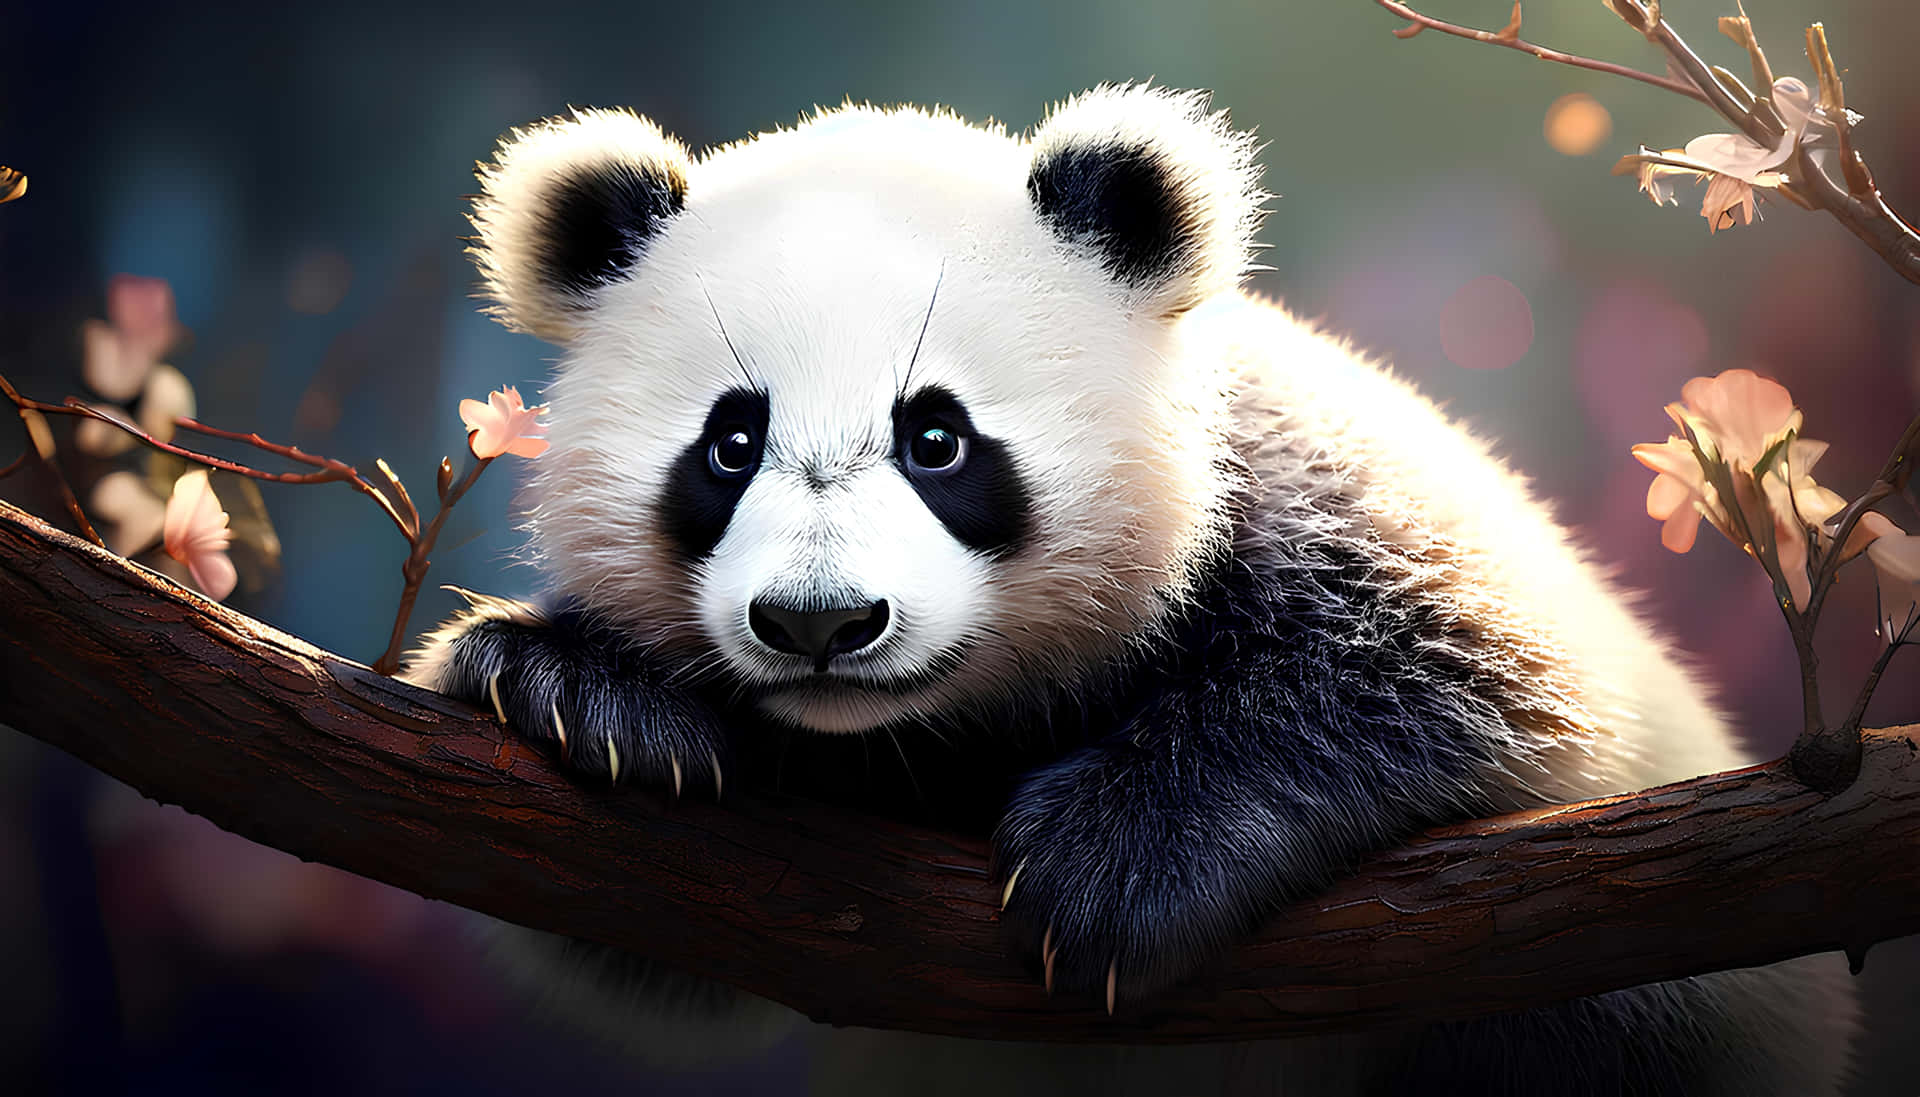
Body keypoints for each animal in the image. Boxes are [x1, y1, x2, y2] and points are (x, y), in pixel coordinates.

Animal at [405, 86, 1857, 1095]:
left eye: (938, 438)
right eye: (730, 441)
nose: (822, 625)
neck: (937, 733)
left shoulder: (1310, 489)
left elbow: (1463, 672)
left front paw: (1115, 859)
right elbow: (658, 953)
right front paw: (580, 689)